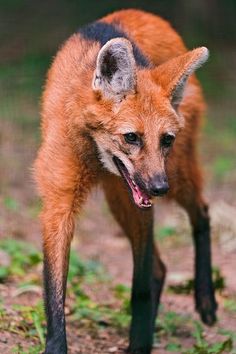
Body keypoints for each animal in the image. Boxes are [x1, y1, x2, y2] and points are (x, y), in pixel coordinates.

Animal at [34, 8, 217, 354]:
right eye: (131, 137)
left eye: (166, 139)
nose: (159, 188)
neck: (95, 154)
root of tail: (148, 14)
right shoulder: (59, 202)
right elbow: (54, 290)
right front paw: (56, 346)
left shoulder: (142, 201)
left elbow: (140, 284)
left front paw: (141, 341)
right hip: (122, 197)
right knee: (160, 267)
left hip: (174, 174)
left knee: (201, 212)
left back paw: (206, 300)